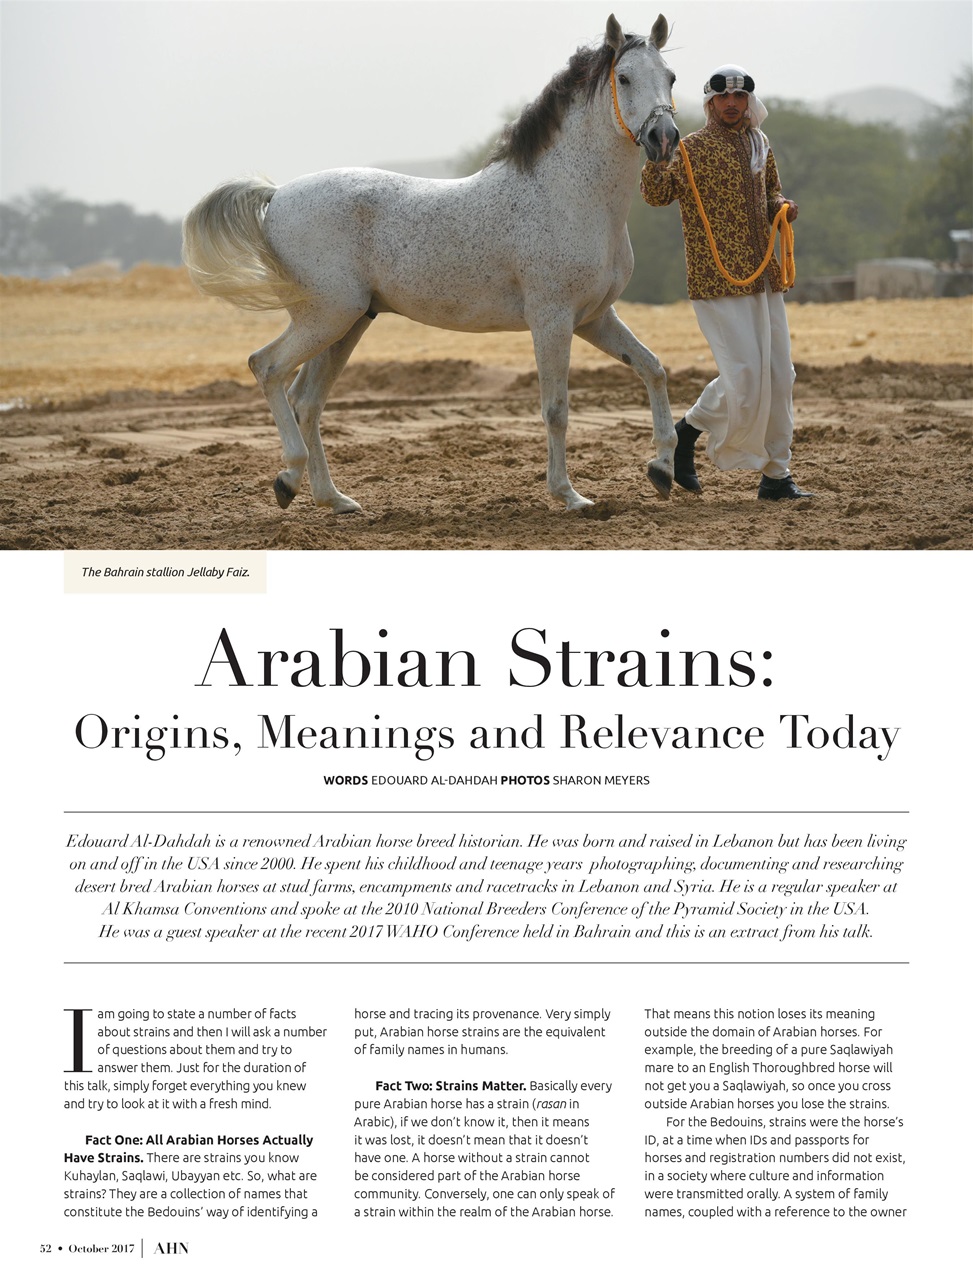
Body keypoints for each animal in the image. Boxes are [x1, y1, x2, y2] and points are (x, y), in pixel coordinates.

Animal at [182, 12, 680, 515]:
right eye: (624, 77)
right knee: (267, 367)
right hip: (326, 317)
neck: (572, 196)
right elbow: (556, 409)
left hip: (345, 324)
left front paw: (661, 470)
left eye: (671, 77)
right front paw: (570, 495)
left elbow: (653, 368)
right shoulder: (552, 320)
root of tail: (277, 194)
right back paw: (287, 479)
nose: (665, 139)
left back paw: (334, 499)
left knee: (307, 399)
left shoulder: (594, 318)